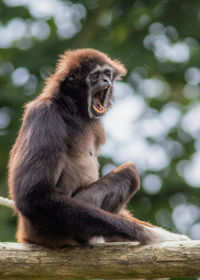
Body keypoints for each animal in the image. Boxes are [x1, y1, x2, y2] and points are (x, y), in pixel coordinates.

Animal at [7, 49, 189, 248]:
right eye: (94, 76)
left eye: (107, 74)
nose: (106, 81)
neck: (71, 107)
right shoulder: (45, 114)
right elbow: (33, 195)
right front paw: (153, 235)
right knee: (130, 172)